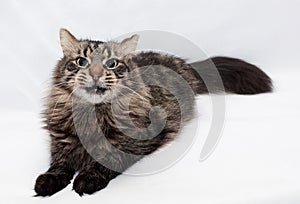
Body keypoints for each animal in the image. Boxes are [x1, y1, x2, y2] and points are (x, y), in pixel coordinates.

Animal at [34, 28, 274, 196]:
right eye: (81, 61)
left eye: (111, 64)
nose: (95, 74)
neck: (92, 115)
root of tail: (182, 62)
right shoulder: (60, 143)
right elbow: (58, 164)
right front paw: (47, 180)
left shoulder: (134, 143)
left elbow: (106, 160)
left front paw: (86, 178)